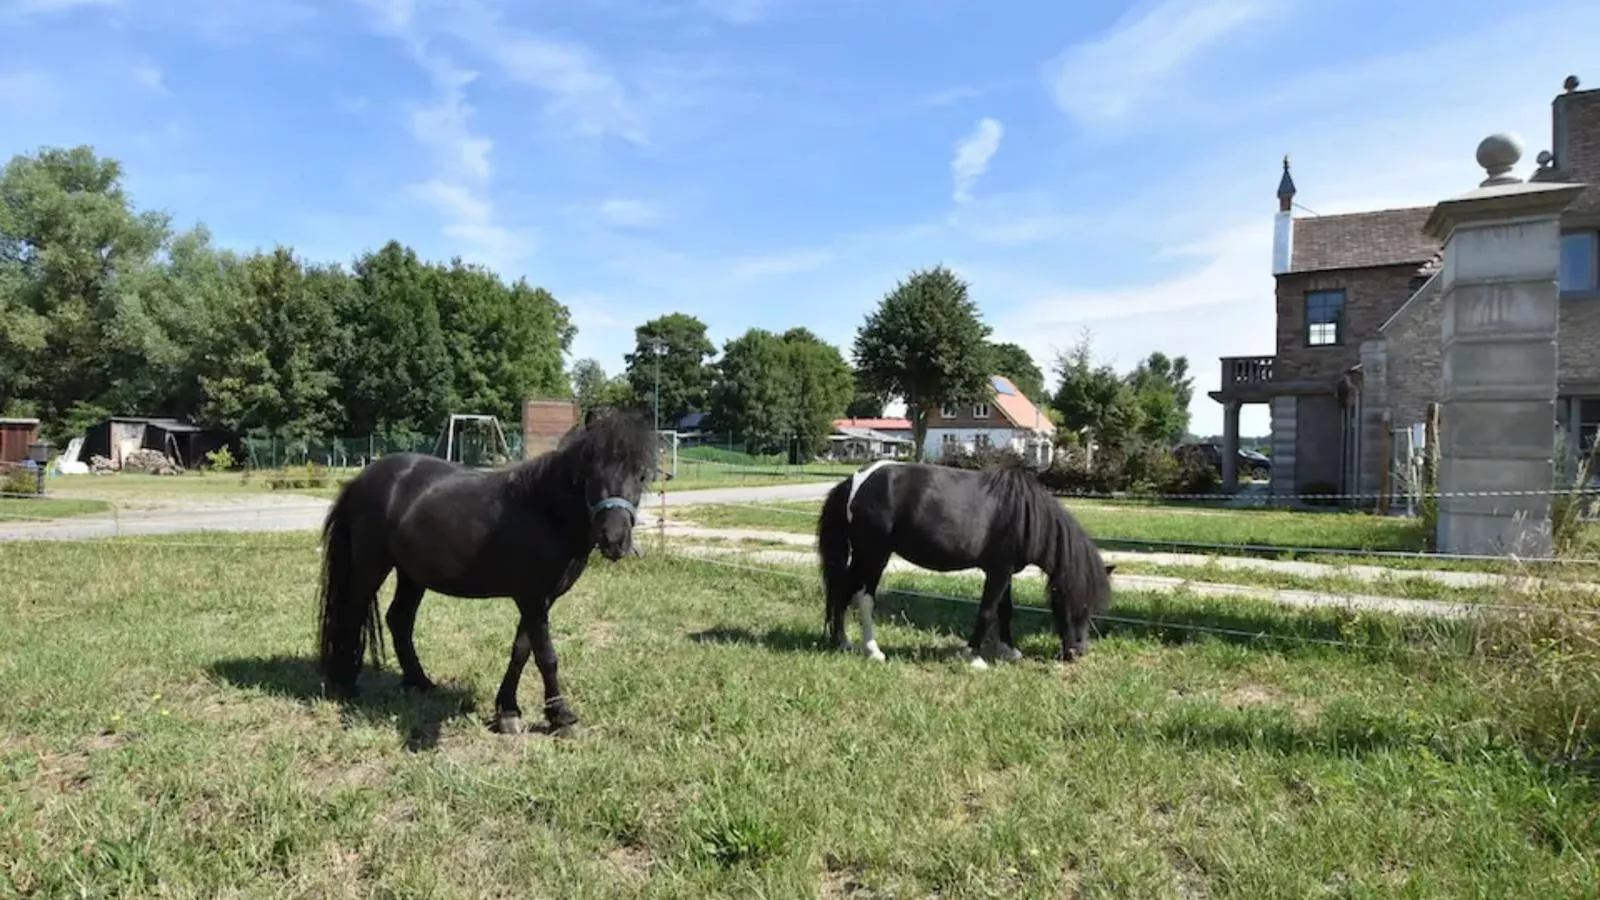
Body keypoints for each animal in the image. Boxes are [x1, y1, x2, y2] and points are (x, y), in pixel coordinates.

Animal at [315, 409, 652, 733]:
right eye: (590, 472)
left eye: (641, 475)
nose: (614, 539)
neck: (543, 510)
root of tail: (360, 480)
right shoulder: (531, 598)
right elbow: (546, 656)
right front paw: (562, 717)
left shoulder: (539, 600)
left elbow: (521, 650)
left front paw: (508, 712)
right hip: (370, 566)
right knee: (352, 613)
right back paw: (345, 685)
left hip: (411, 574)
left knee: (399, 620)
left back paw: (419, 681)